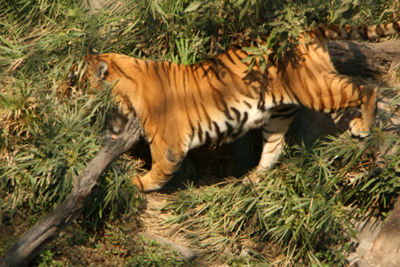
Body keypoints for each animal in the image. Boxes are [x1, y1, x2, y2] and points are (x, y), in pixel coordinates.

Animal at [82, 22, 400, 192]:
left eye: (79, 80)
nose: (72, 95)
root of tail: (307, 30)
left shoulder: (169, 144)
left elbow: (160, 170)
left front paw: (137, 183)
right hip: (279, 113)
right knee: (274, 148)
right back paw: (251, 179)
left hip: (316, 90)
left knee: (365, 87)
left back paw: (362, 127)